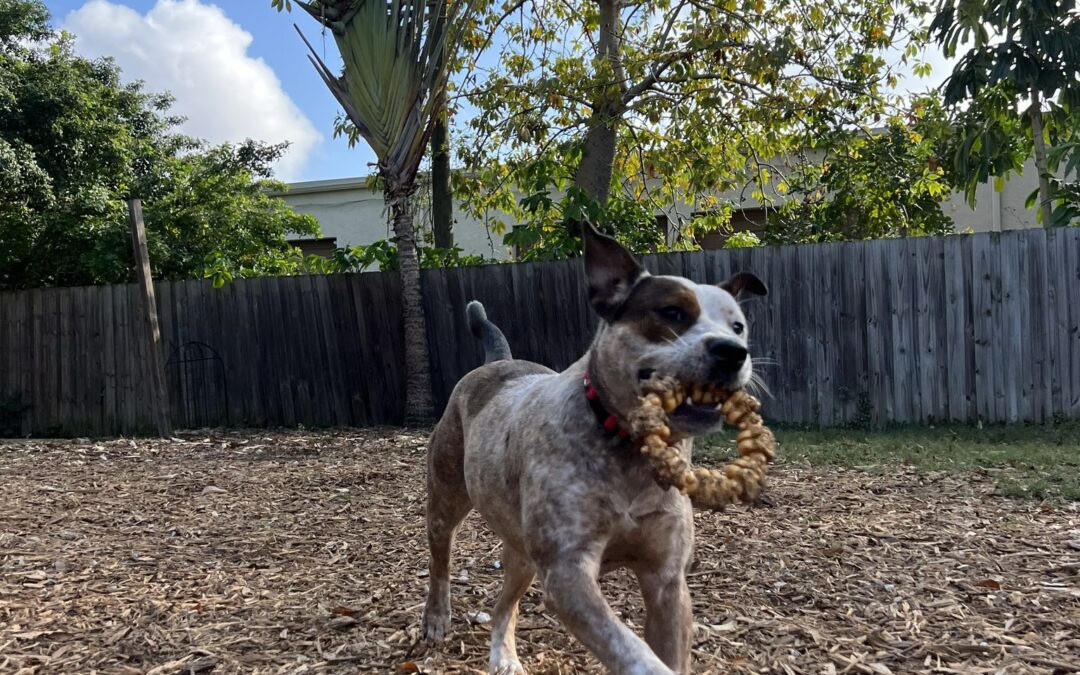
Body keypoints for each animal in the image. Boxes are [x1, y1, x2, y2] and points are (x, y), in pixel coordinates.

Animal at [421, 223, 768, 669]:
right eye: (672, 312)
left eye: (738, 326)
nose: (732, 352)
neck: (630, 452)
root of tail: (497, 361)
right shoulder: (568, 572)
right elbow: (633, 652)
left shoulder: (666, 581)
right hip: (446, 501)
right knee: (440, 561)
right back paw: (436, 618)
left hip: (523, 554)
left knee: (504, 605)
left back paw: (504, 656)